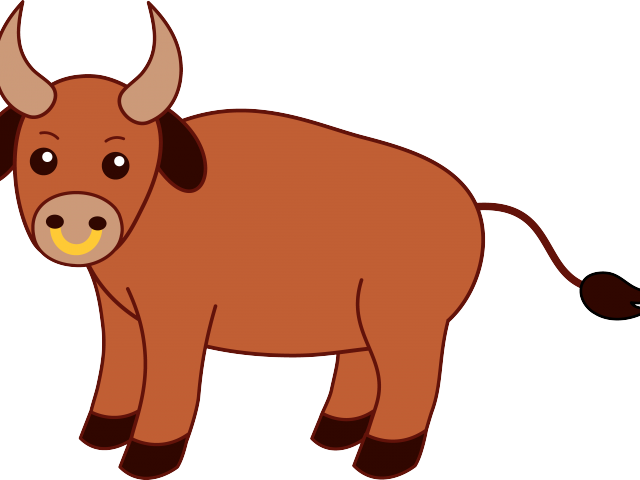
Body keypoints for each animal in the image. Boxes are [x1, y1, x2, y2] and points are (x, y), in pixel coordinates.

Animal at [1, 2, 638, 479]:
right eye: (42, 157)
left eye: (118, 161)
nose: (74, 215)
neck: (161, 203)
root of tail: (471, 202)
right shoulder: (119, 312)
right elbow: (121, 368)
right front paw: (98, 436)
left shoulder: (176, 318)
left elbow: (168, 382)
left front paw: (145, 461)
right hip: (361, 320)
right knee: (365, 369)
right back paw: (332, 435)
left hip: (405, 321)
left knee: (411, 376)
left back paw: (379, 460)